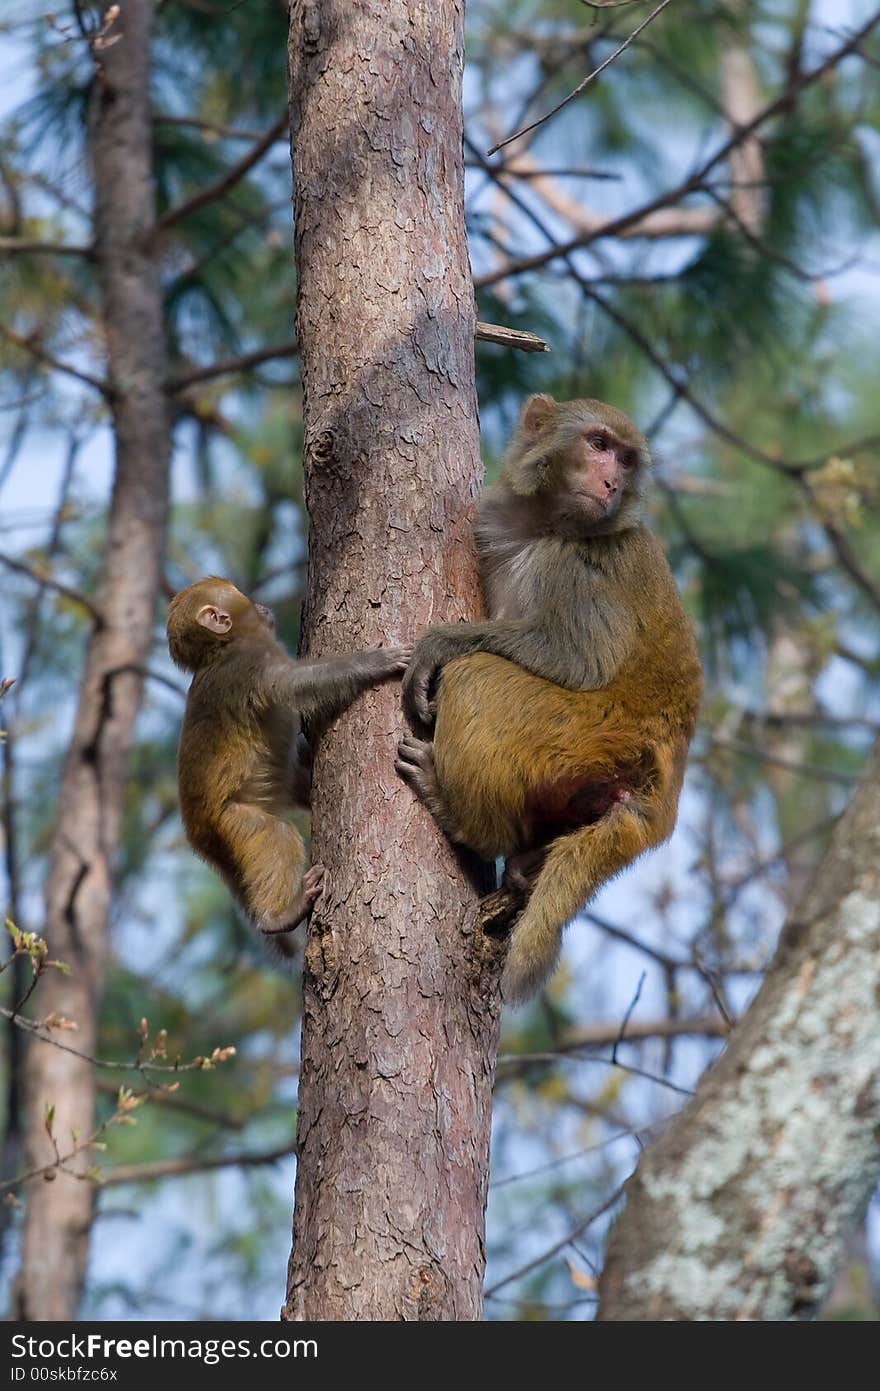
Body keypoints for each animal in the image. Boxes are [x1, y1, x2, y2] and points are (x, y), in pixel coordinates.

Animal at [168, 578, 411, 957]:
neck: (221, 649)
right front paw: (375, 661)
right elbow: (297, 684)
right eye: (239, 594)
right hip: (231, 819)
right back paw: (277, 917)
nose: (260, 604)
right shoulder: (253, 663)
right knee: (275, 834)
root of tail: (197, 831)